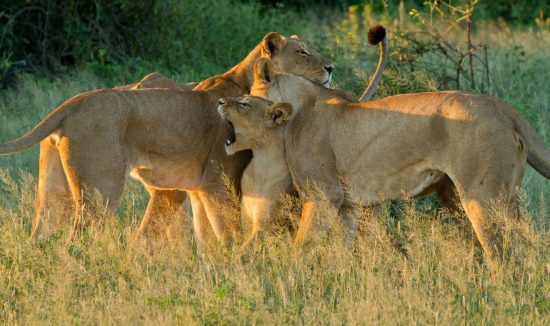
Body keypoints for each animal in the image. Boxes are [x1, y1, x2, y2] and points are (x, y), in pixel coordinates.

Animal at [0, 32, 336, 247]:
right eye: (302, 52)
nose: (331, 68)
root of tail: (74, 101)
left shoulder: (198, 188)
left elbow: (205, 237)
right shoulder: (219, 183)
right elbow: (227, 234)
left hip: (54, 191)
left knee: (39, 235)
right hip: (101, 191)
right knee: (78, 239)